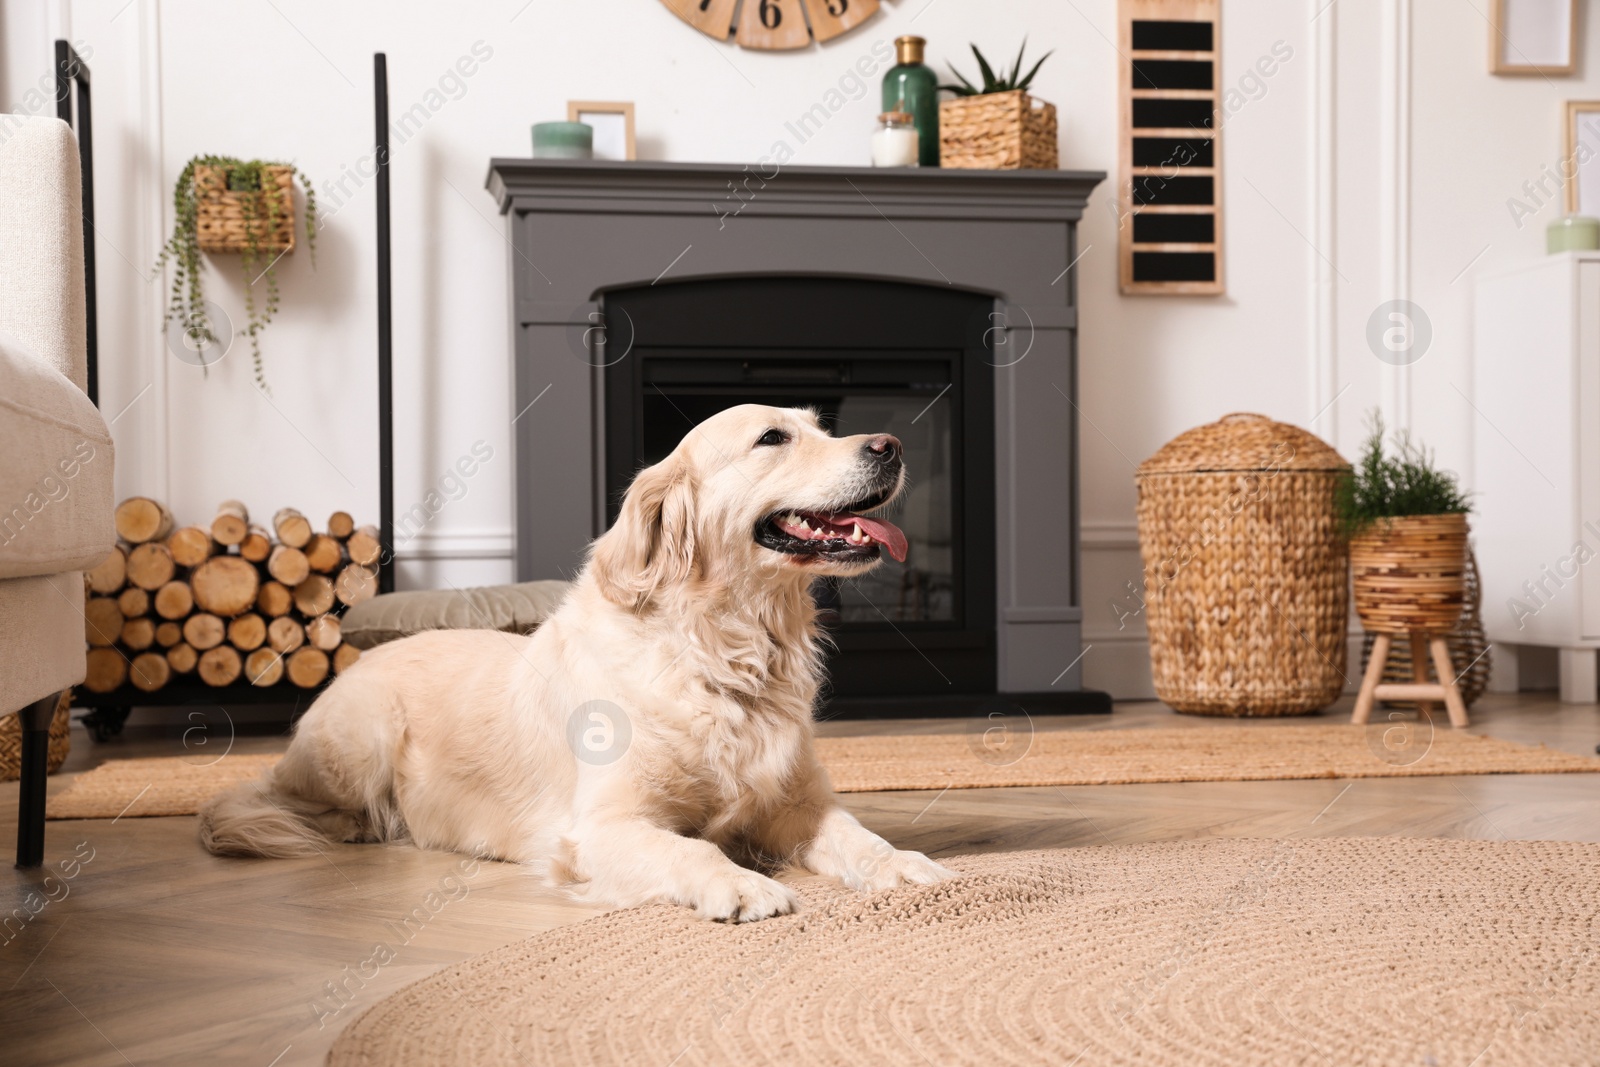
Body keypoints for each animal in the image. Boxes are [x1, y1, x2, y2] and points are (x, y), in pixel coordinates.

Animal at [200, 404, 947, 921]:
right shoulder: (604, 825)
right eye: (773, 438)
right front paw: (741, 884)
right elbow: (691, 846)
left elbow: (858, 834)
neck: (725, 649)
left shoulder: (798, 803)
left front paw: (907, 864)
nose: (891, 445)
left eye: (819, 426)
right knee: (287, 804)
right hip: (364, 736)